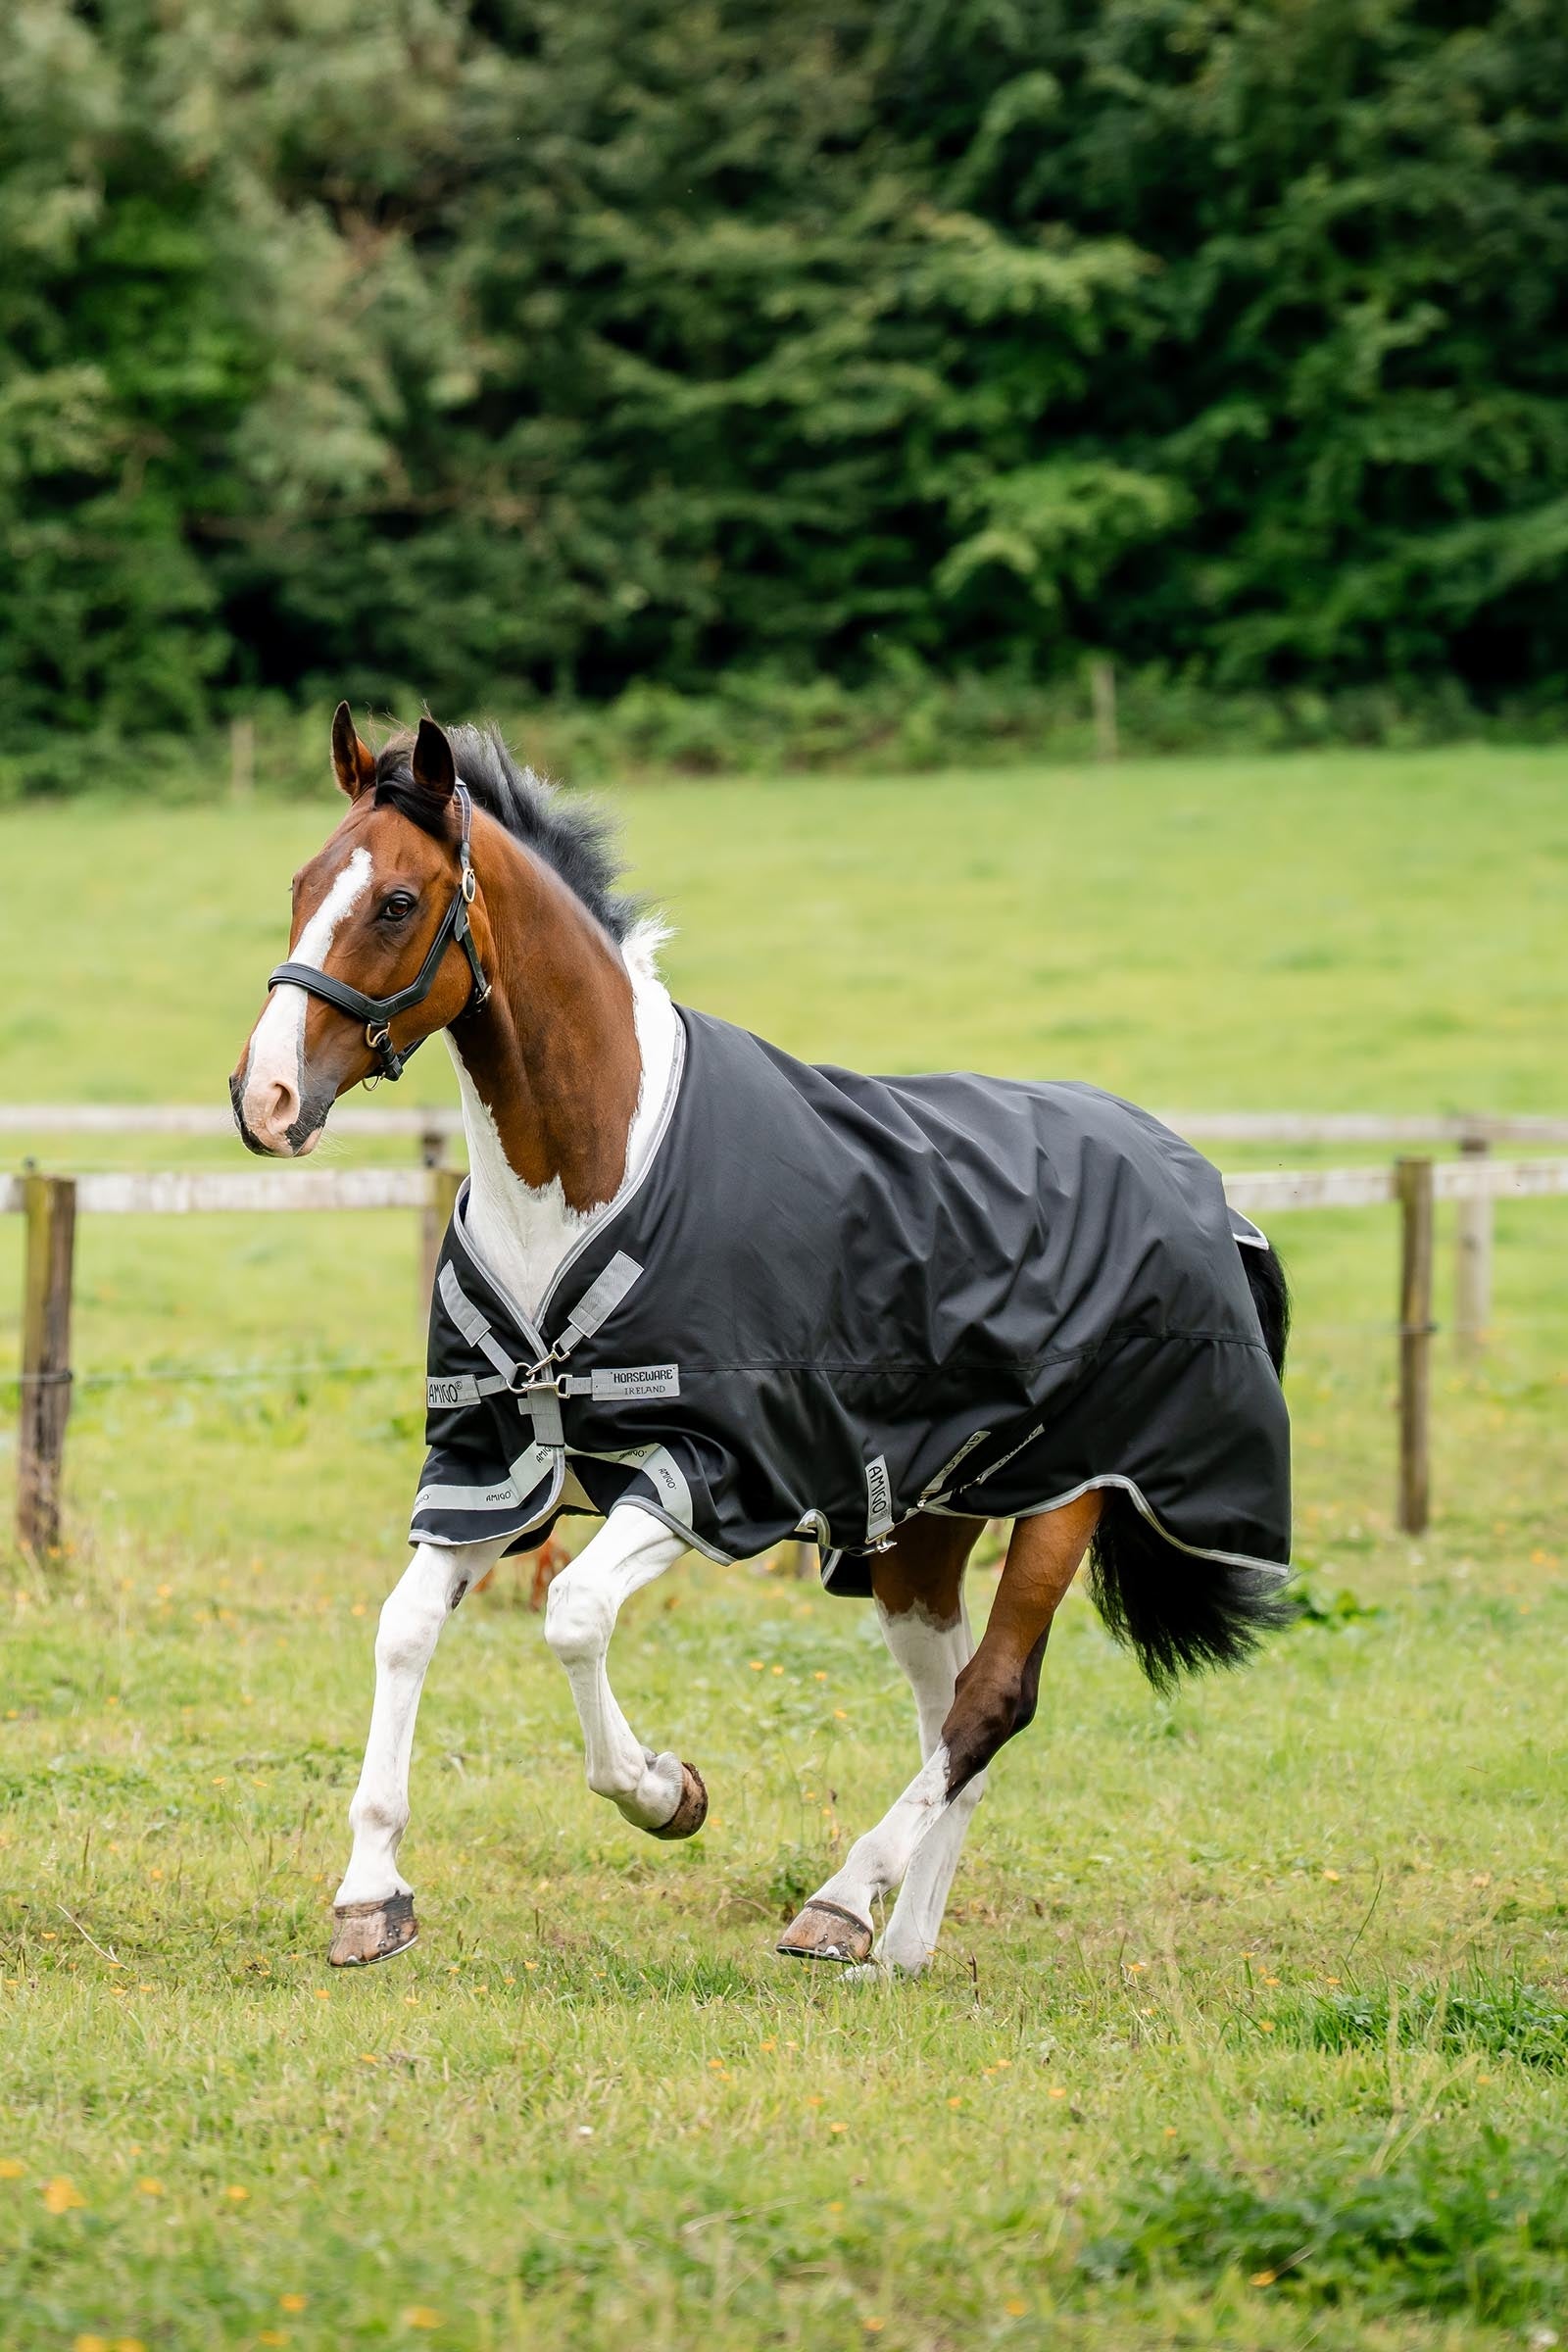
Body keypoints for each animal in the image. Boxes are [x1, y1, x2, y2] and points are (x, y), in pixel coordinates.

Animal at [230, 707, 1292, 1974]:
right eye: (300, 885)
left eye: (395, 901)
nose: (264, 1099)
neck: (586, 1176)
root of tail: (1196, 1177)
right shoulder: (495, 1468)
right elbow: (402, 1631)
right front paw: (371, 1897)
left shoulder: (710, 1470)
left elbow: (573, 1615)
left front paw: (664, 1793)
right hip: (920, 1528)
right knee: (952, 1720)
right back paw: (899, 1949)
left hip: (1070, 1494)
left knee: (992, 1700)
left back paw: (841, 1904)